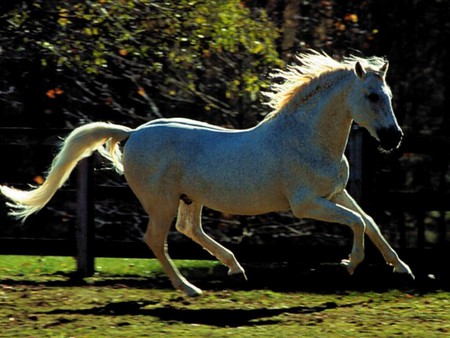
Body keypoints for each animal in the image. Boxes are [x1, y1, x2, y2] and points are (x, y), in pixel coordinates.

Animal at [0, 50, 414, 296]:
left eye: (390, 96)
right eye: (372, 96)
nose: (394, 138)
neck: (306, 138)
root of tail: (131, 133)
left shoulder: (335, 193)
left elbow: (370, 222)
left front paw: (403, 269)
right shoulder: (307, 204)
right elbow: (357, 223)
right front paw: (350, 265)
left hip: (190, 199)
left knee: (189, 229)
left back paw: (235, 269)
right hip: (161, 202)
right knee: (156, 240)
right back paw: (189, 289)